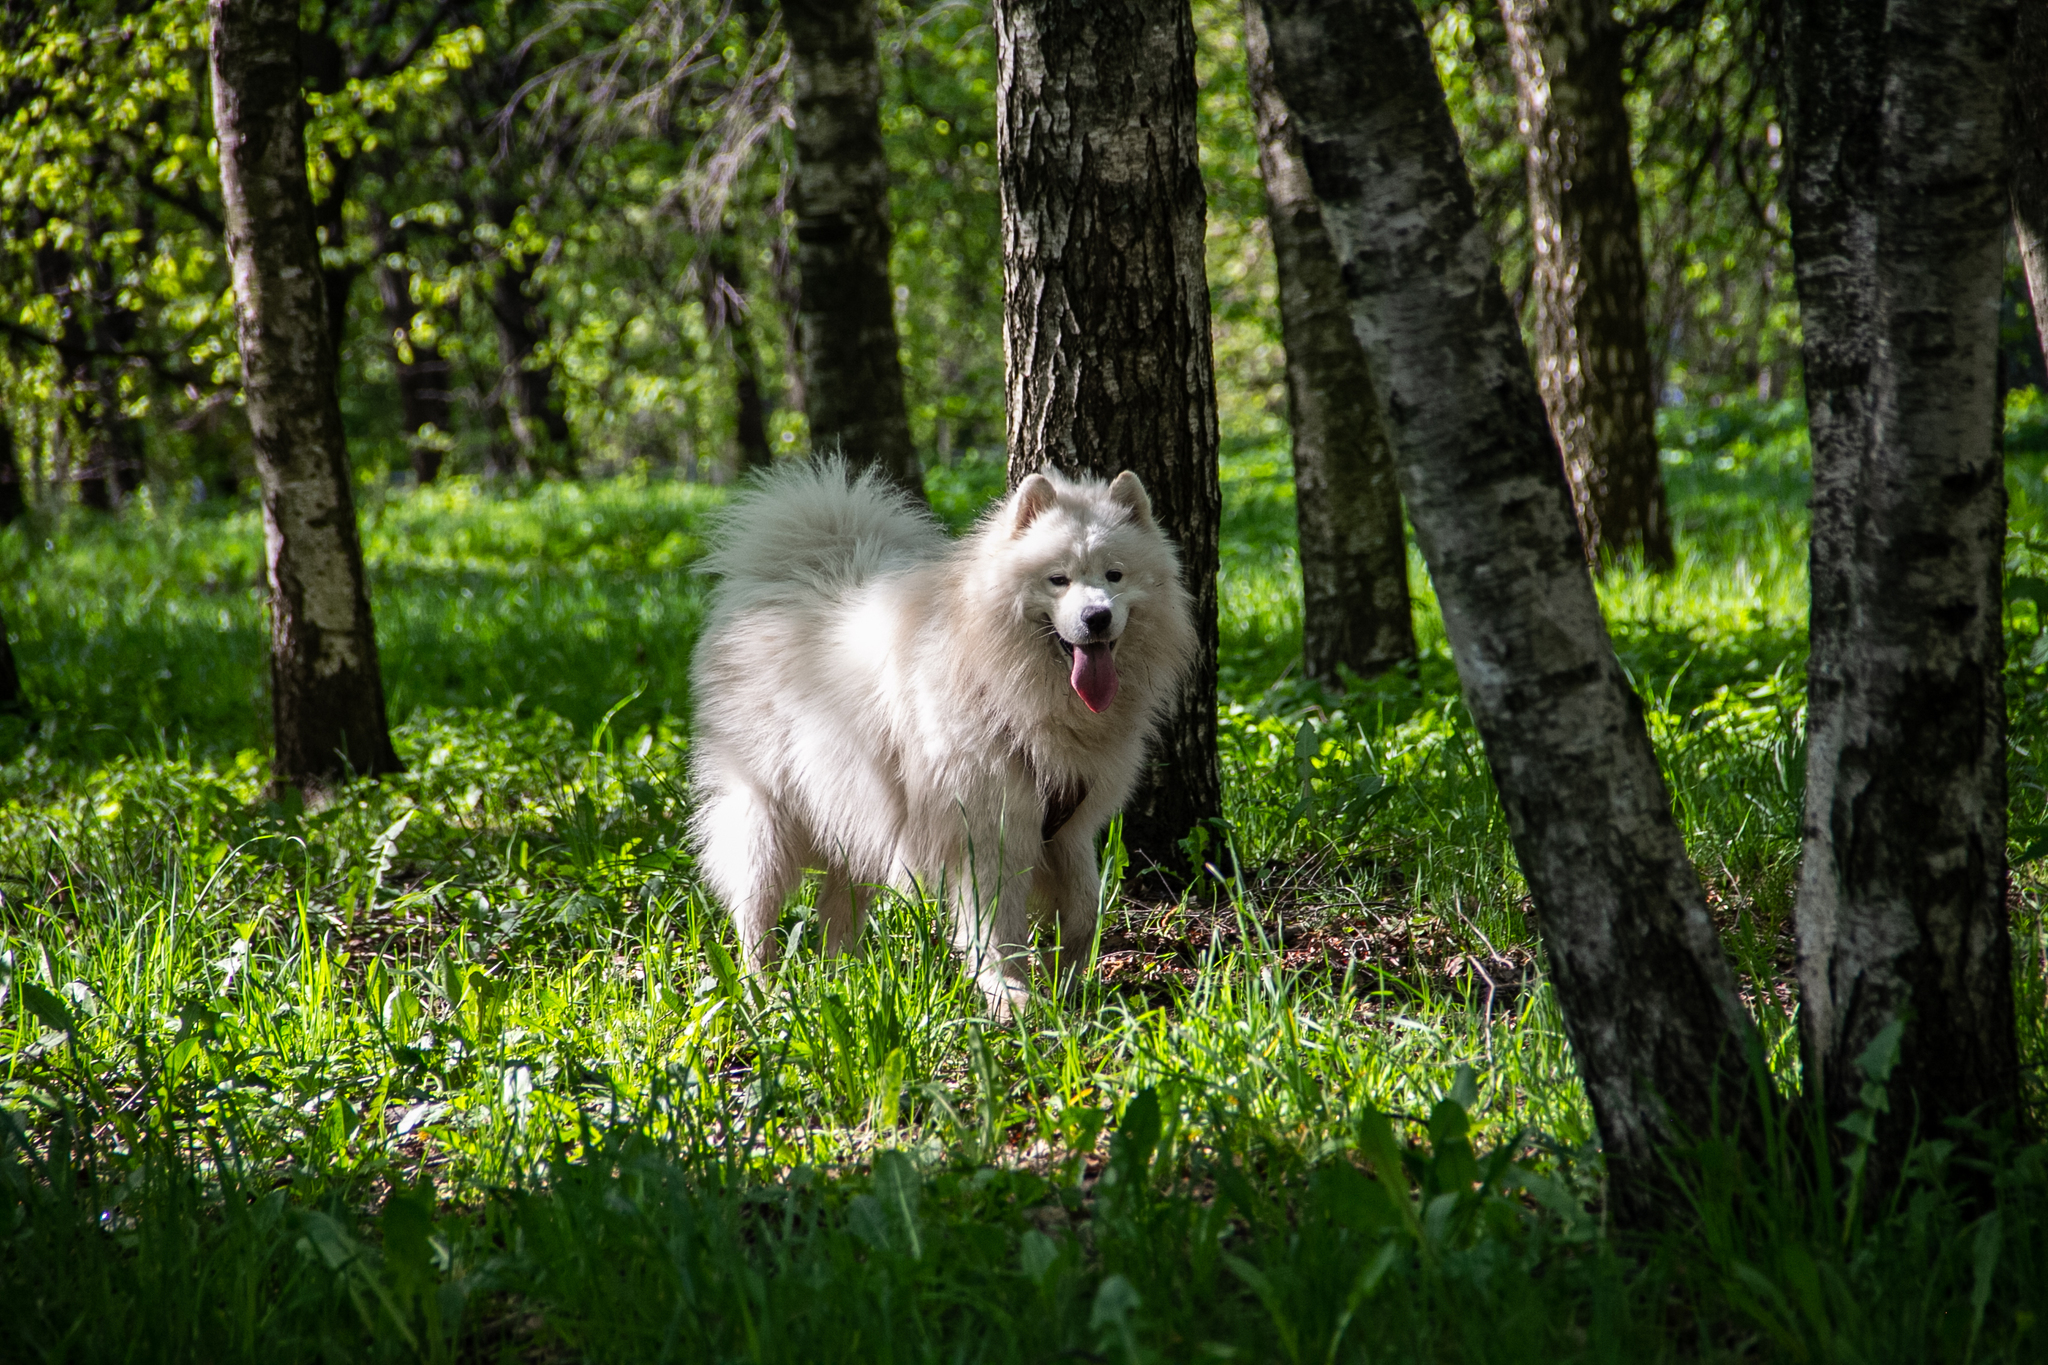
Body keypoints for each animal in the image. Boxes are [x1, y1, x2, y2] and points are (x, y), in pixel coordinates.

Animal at [688, 458, 1196, 1015]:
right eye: (1058, 579)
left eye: (1114, 575)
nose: (1097, 617)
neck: (1004, 685)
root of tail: (792, 570)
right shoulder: (986, 830)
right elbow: (997, 928)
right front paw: (1010, 996)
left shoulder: (1067, 827)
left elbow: (1085, 912)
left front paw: (1061, 977)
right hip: (769, 819)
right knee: (754, 917)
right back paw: (767, 992)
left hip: (856, 812)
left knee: (837, 910)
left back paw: (845, 978)